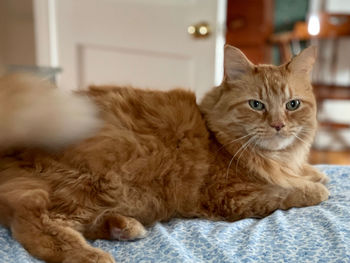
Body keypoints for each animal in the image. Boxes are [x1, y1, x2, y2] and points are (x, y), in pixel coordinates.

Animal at [0, 46, 328, 263]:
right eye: (256, 105)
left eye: (293, 105)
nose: (278, 125)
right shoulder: (232, 196)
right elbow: (285, 192)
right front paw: (315, 188)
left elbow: (301, 174)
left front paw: (315, 173)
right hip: (90, 186)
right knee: (34, 227)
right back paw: (92, 255)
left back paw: (123, 227)